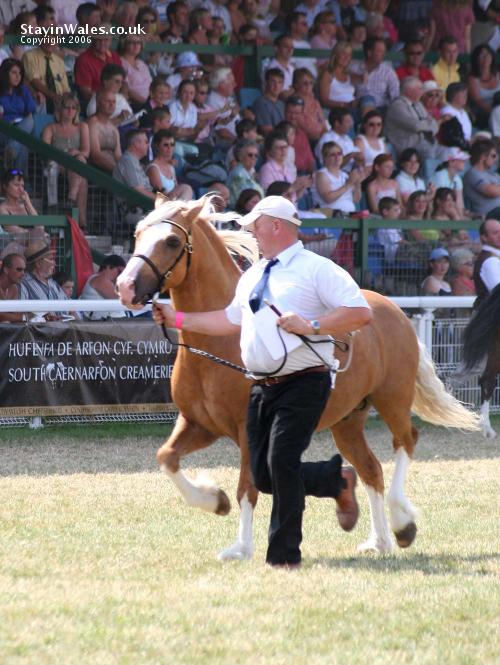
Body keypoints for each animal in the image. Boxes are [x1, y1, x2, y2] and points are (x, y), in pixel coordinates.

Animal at [116, 195, 480, 560]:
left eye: (171, 241)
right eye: (137, 234)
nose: (125, 287)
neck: (217, 344)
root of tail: (391, 310)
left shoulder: (246, 430)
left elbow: (247, 487)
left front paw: (241, 547)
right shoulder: (198, 424)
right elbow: (167, 458)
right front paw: (214, 501)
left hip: (392, 399)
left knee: (406, 442)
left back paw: (402, 524)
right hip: (348, 421)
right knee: (370, 469)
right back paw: (376, 538)